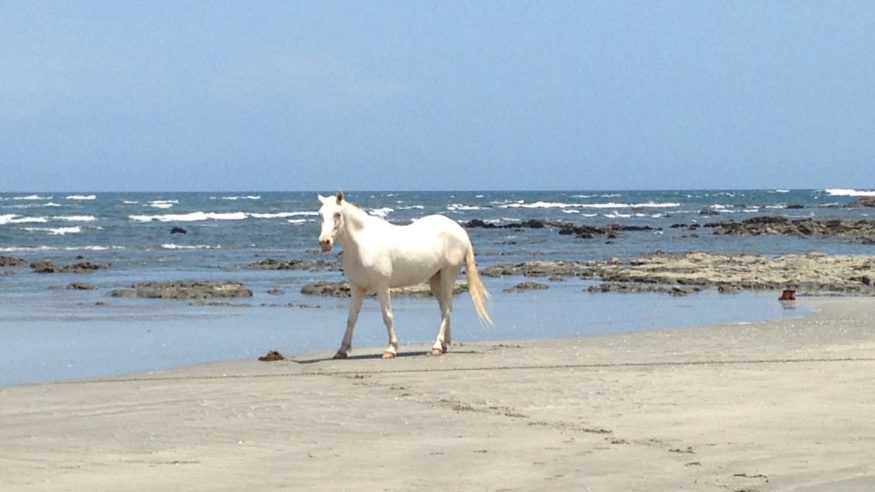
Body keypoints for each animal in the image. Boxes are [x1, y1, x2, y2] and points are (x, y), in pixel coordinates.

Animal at [317, 191, 492, 359]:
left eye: (337, 214)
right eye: (320, 214)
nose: (324, 242)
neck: (362, 244)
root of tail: (460, 231)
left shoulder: (381, 286)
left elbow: (387, 316)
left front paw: (391, 349)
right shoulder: (357, 288)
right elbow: (351, 318)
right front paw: (342, 350)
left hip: (449, 273)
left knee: (447, 308)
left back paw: (436, 346)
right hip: (436, 278)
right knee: (444, 308)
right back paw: (443, 345)